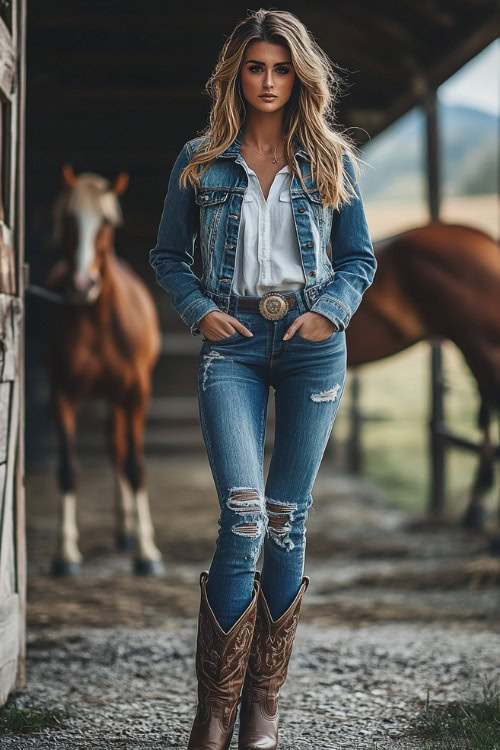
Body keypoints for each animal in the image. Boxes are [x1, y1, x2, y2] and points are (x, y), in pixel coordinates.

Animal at [44, 164, 162, 576]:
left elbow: (136, 466)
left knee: (120, 450)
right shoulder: (61, 395)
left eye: (106, 222)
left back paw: (129, 532)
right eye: (68, 218)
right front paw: (65, 554)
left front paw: (147, 552)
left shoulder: (137, 395)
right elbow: (68, 469)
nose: (83, 284)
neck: (97, 321)